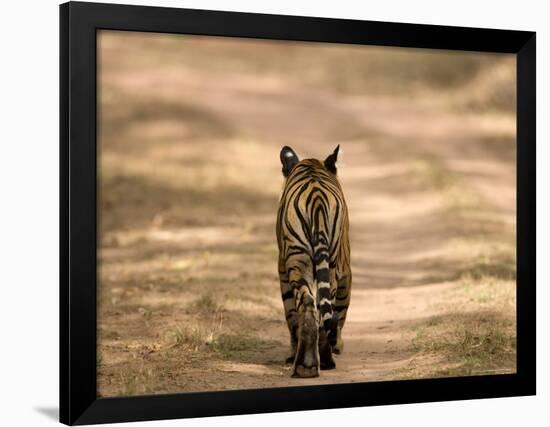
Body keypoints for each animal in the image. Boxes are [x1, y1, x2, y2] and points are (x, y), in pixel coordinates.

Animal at [276, 146, 354, 378]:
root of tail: (317, 197)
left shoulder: (282, 268)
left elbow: (291, 314)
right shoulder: (346, 272)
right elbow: (340, 312)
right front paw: (338, 345)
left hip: (298, 260)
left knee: (309, 305)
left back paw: (306, 365)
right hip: (327, 265)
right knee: (320, 309)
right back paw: (321, 361)